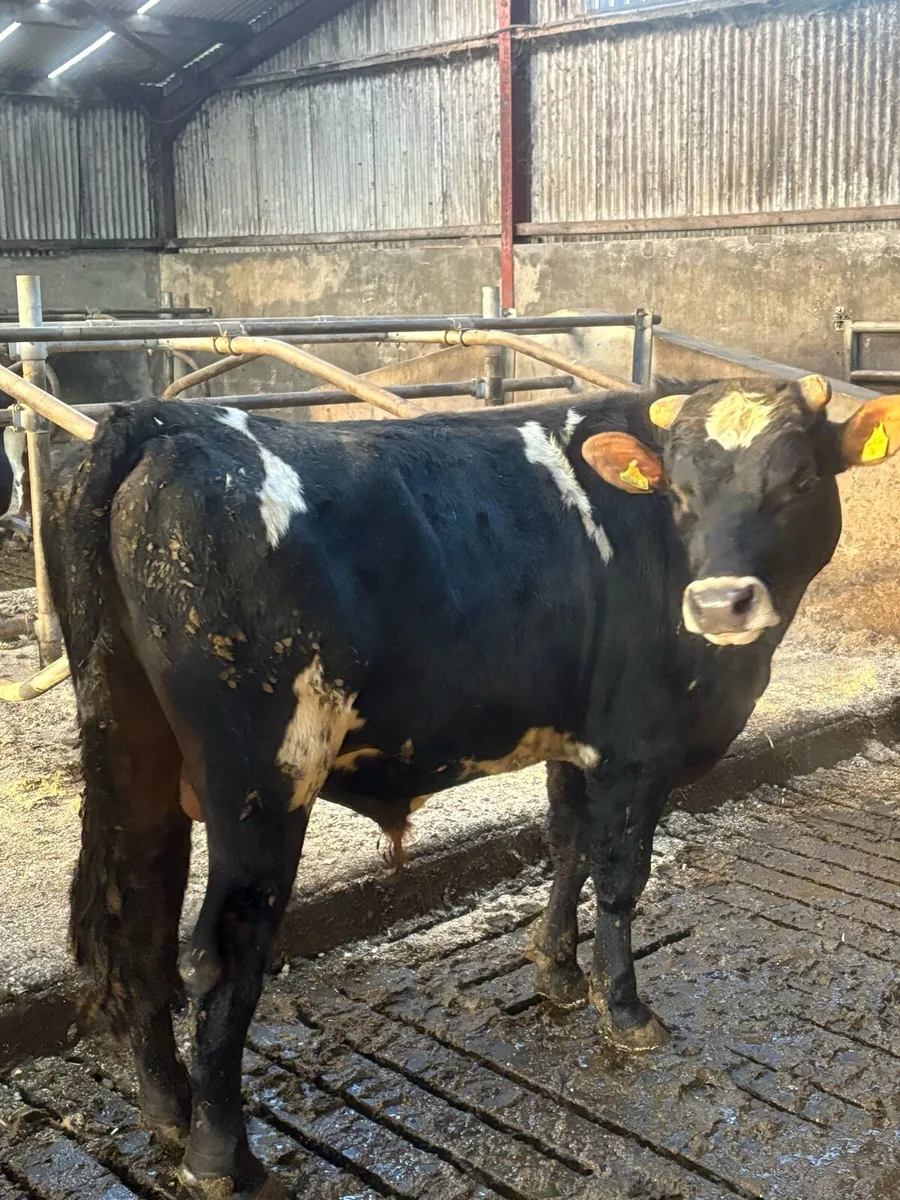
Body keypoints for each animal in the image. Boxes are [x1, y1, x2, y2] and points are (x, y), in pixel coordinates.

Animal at [44, 377, 900, 1199]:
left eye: (797, 479)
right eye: (681, 493)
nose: (720, 602)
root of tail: (161, 421)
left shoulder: (575, 734)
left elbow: (567, 844)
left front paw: (556, 970)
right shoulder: (637, 746)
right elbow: (621, 877)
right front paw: (624, 1009)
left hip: (137, 762)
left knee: (136, 926)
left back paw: (169, 1112)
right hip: (260, 778)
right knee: (223, 954)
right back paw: (224, 1160)